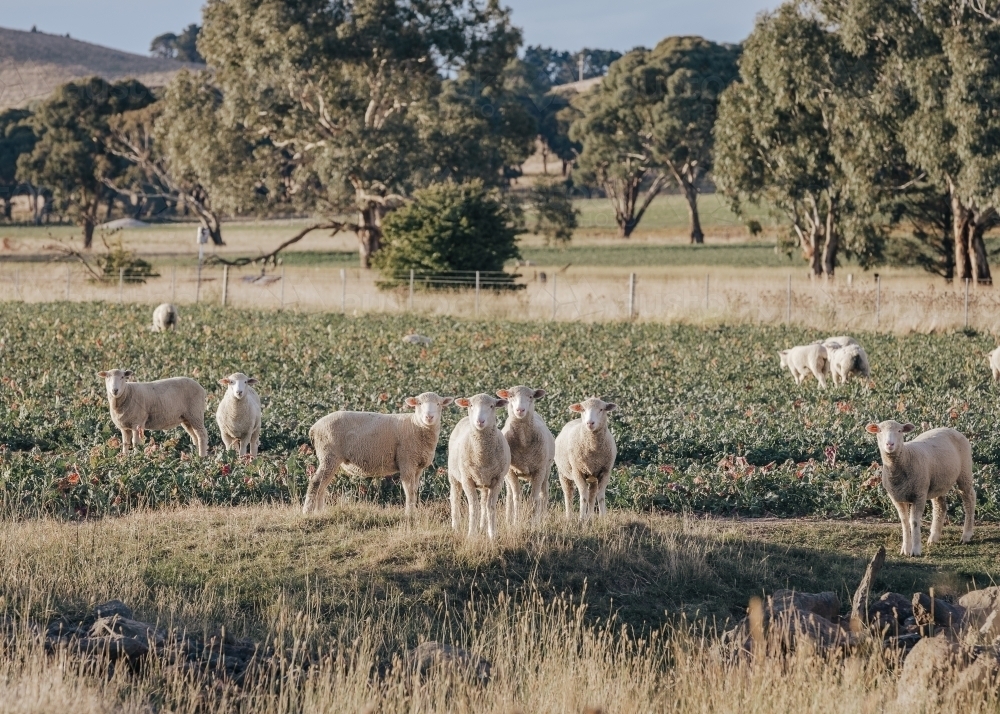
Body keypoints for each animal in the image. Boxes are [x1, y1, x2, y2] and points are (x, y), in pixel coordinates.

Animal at [298, 392, 452, 516]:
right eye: (419, 403)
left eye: (438, 404)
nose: (429, 417)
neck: (416, 425)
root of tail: (314, 428)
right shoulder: (407, 461)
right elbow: (409, 490)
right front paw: (409, 514)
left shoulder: (418, 466)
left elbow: (414, 489)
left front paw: (413, 512)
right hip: (329, 454)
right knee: (316, 482)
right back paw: (307, 512)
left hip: (330, 458)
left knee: (322, 485)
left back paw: (319, 512)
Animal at [450, 392, 512, 536]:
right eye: (471, 405)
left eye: (492, 406)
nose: (480, 421)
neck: (482, 457)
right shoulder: (467, 479)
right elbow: (474, 506)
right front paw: (471, 535)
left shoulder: (497, 480)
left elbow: (490, 506)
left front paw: (492, 534)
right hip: (453, 476)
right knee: (455, 498)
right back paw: (455, 527)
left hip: (484, 481)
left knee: (484, 503)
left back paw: (482, 527)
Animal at [498, 384, 556, 524]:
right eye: (510, 396)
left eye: (530, 396)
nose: (520, 410)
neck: (523, 443)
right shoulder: (511, 472)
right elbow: (516, 496)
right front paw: (515, 521)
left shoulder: (539, 470)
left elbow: (534, 497)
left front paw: (533, 522)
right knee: (509, 495)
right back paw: (508, 519)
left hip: (546, 469)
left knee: (544, 493)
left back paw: (542, 518)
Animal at [864, 418, 972, 556]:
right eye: (880, 431)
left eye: (900, 431)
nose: (890, 444)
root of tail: (949, 428)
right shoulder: (897, 498)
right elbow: (904, 522)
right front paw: (905, 549)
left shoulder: (919, 494)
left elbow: (914, 522)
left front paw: (915, 550)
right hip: (936, 482)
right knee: (940, 506)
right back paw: (934, 537)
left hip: (965, 472)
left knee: (969, 500)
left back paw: (966, 535)